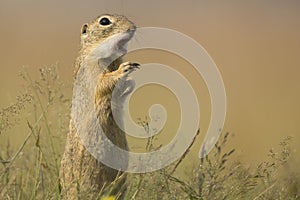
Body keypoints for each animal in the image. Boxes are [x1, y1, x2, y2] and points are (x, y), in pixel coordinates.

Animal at [59, 13, 140, 198]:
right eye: (104, 21)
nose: (132, 27)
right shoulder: (92, 70)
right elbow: (103, 83)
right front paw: (125, 69)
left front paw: (130, 82)